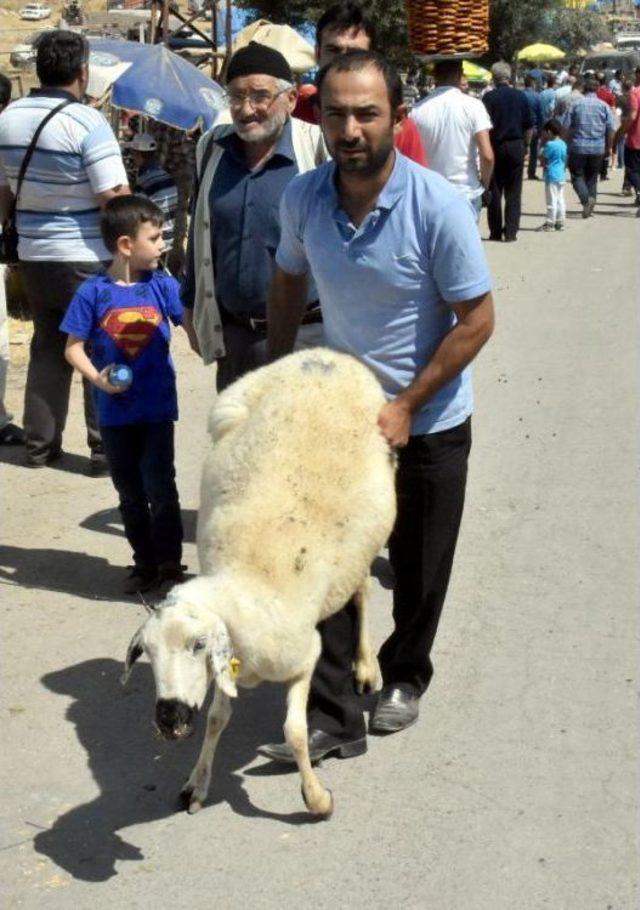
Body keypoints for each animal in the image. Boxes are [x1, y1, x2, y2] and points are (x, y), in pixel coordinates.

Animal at [122, 348, 398, 820]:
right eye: (147, 652)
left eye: (198, 645)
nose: (169, 719)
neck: (244, 587)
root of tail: (327, 355)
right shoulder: (228, 666)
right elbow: (217, 719)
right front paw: (196, 785)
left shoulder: (304, 657)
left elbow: (296, 732)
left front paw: (317, 799)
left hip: (366, 541)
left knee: (360, 592)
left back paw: (365, 666)